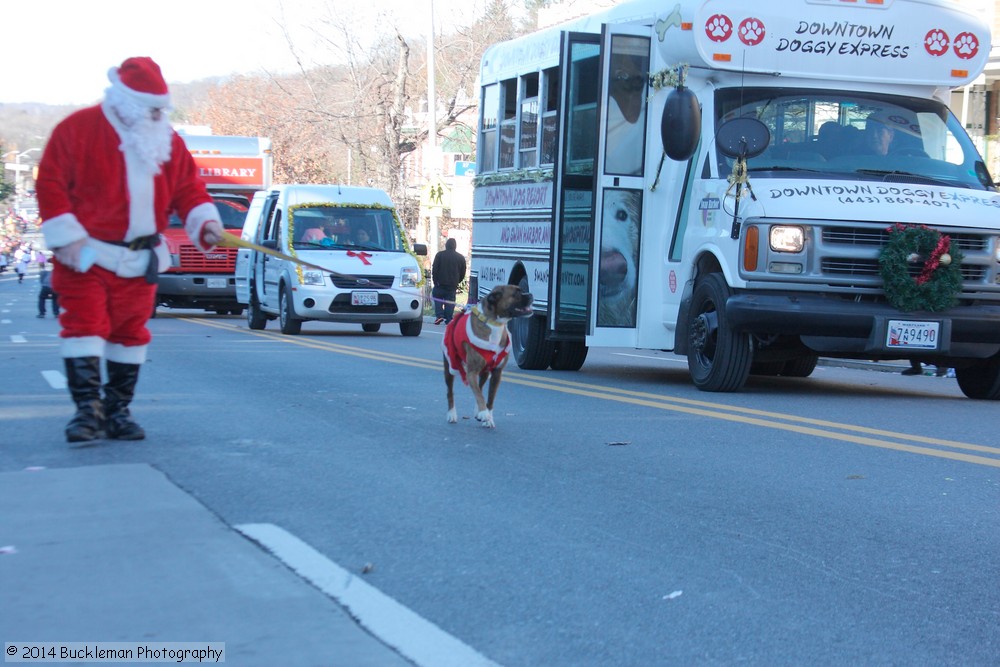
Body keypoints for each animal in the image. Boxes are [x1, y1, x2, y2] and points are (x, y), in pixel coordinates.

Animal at [444, 284, 536, 430]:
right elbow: (479, 395)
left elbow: (489, 398)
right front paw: (483, 412)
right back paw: (452, 414)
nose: (531, 294)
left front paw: (487, 417)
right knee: (450, 391)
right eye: (516, 293)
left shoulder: (496, 373)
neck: (495, 323)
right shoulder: (471, 373)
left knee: (480, 387)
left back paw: (477, 411)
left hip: (485, 372)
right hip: (450, 366)